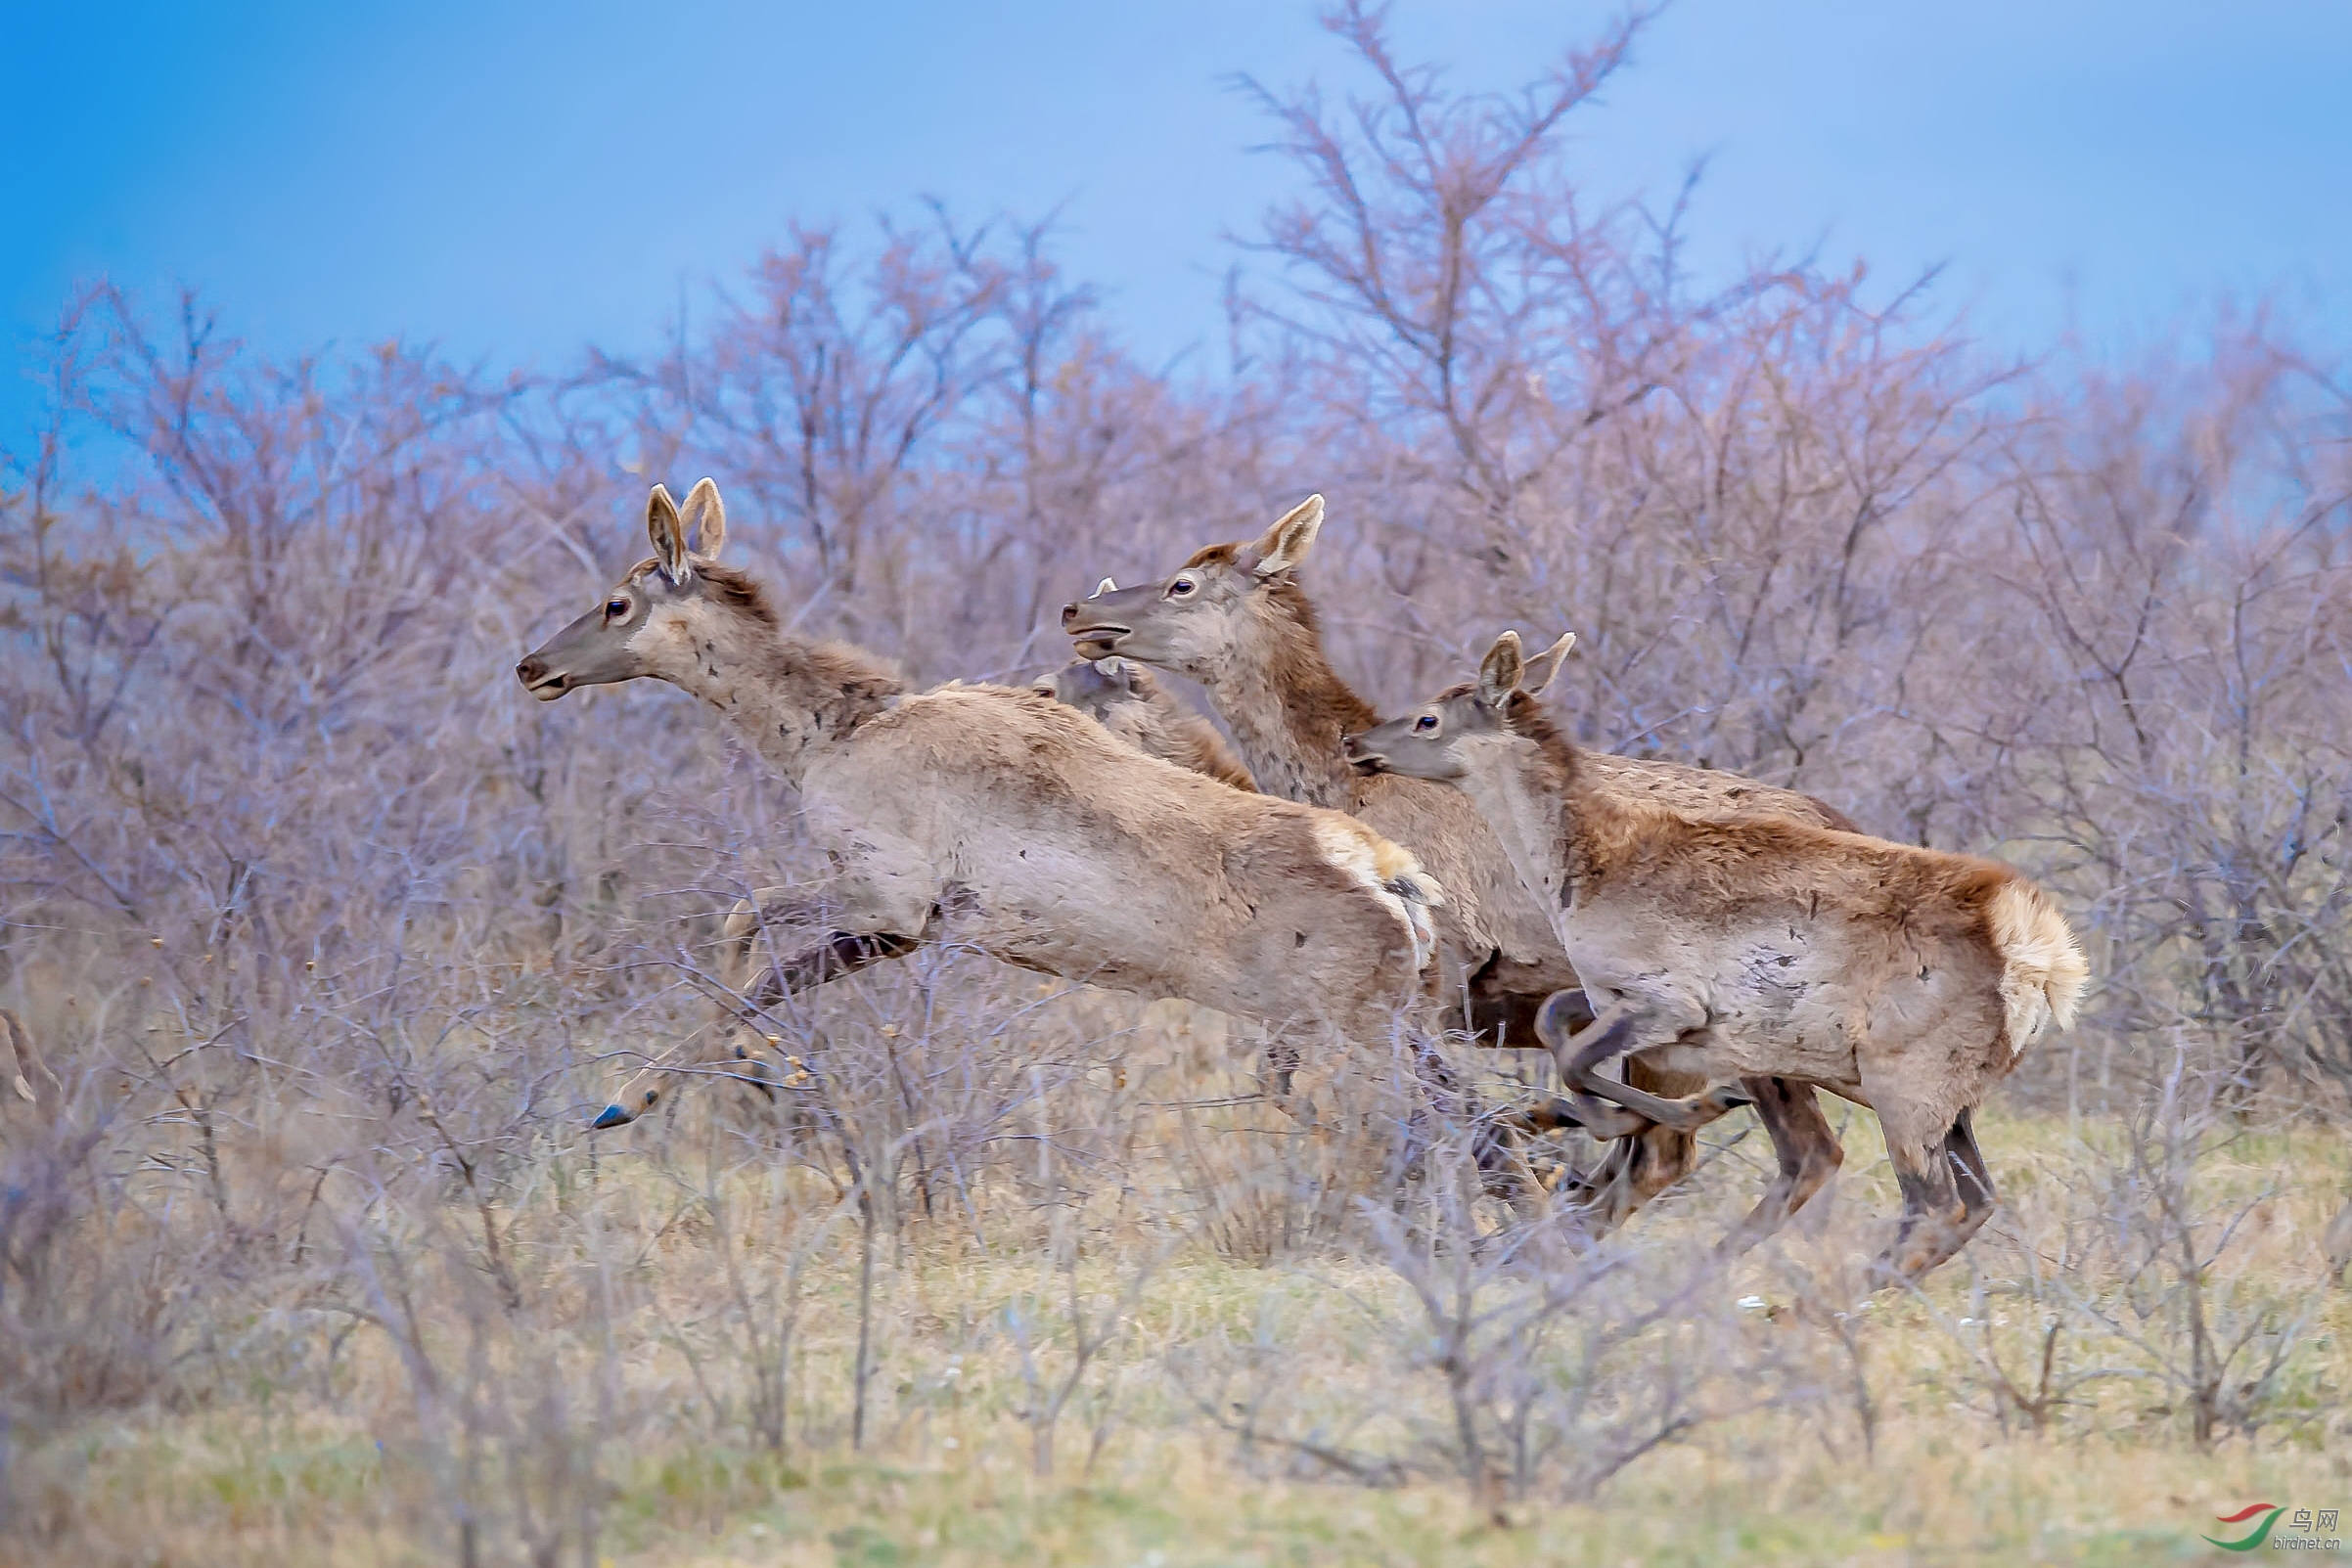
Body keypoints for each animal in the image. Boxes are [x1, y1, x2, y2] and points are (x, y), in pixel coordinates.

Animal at [520, 479, 1448, 1128]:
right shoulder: (909, 925)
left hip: (1363, 1027)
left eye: (617, 600)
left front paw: (631, 1097)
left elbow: (753, 949)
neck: (830, 738)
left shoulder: (890, 899)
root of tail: (1397, 879)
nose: (533, 665)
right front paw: (753, 1066)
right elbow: (749, 934)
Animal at [1063, 496, 1853, 1232]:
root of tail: (1840, 817)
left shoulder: (1441, 967)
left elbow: (1424, 1119)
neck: (1331, 783)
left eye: (1183, 583)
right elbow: (1294, 1086)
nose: (1078, 609)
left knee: (1716, 1151)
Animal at [1345, 630, 2098, 1278]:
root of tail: (2048, 968)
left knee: (1928, 1202)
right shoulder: (1616, 997)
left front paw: (1660, 1115)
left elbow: (1579, 1062)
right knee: (1971, 1197)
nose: (1356, 742)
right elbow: (1561, 1029)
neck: (1581, 870)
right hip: (1949, 1097)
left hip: (1907, 1085)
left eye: (1428, 719)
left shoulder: (1669, 1002)